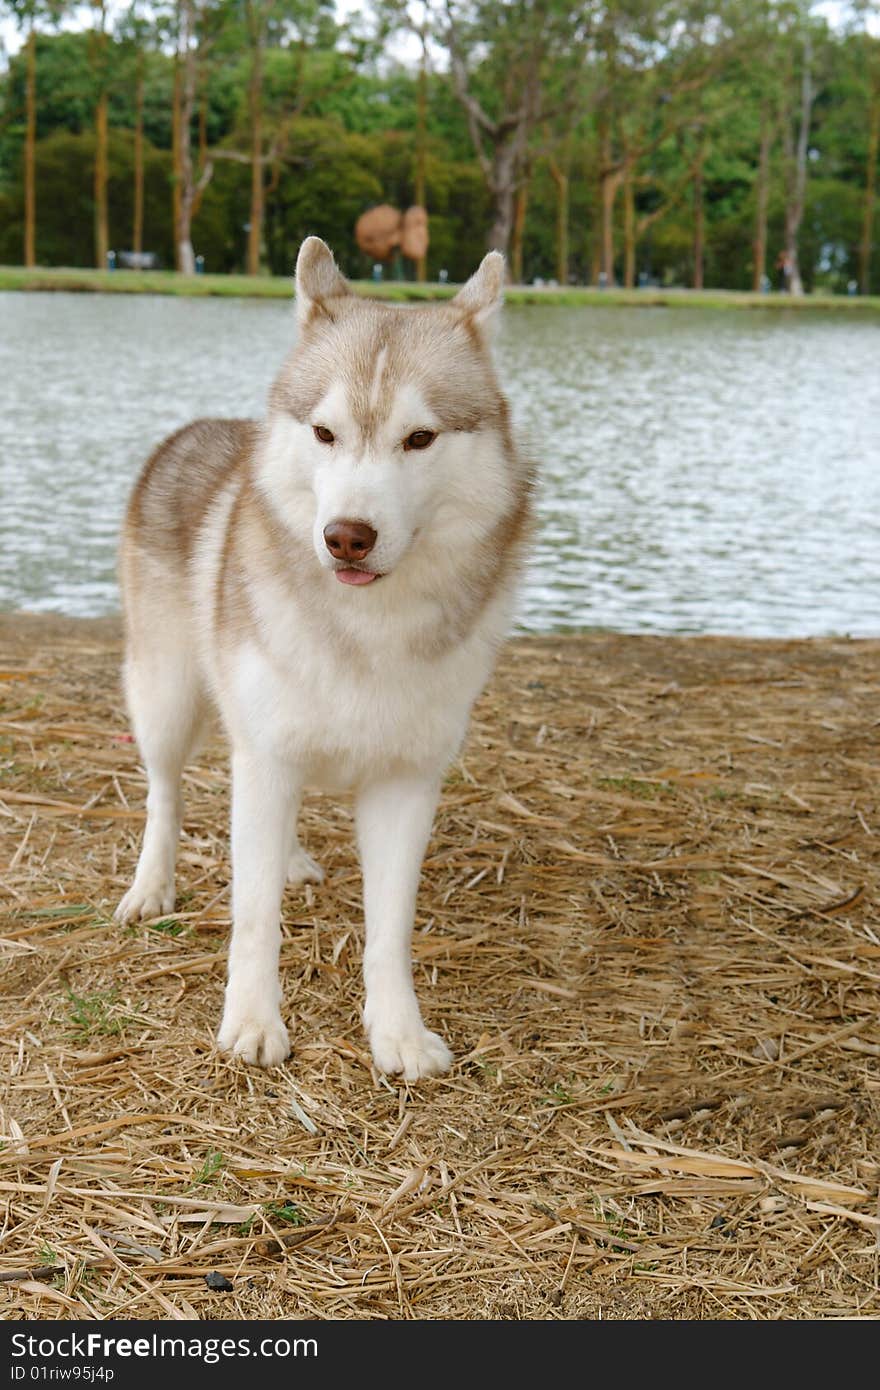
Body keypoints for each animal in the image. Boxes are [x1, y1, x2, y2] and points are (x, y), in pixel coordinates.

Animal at [113, 239, 531, 1078]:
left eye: (420, 438)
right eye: (325, 433)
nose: (347, 536)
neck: (368, 626)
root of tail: (195, 428)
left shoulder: (406, 783)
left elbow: (390, 928)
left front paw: (398, 1031)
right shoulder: (267, 756)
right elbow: (253, 915)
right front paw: (251, 1021)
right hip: (167, 699)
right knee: (165, 795)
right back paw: (153, 885)